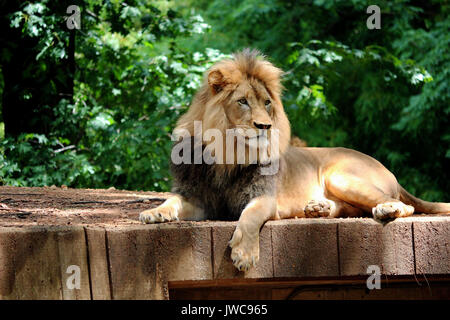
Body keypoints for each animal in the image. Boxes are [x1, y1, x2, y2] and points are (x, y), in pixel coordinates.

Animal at [139, 48, 448, 272]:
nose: (265, 126)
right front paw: (154, 213)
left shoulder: (264, 198)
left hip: (341, 176)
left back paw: (385, 210)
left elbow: (249, 217)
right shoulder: (198, 198)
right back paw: (318, 208)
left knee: (404, 206)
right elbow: (172, 200)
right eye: (242, 101)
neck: (228, 153)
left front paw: (244, 254)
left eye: (266, 103)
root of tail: (386, 168)